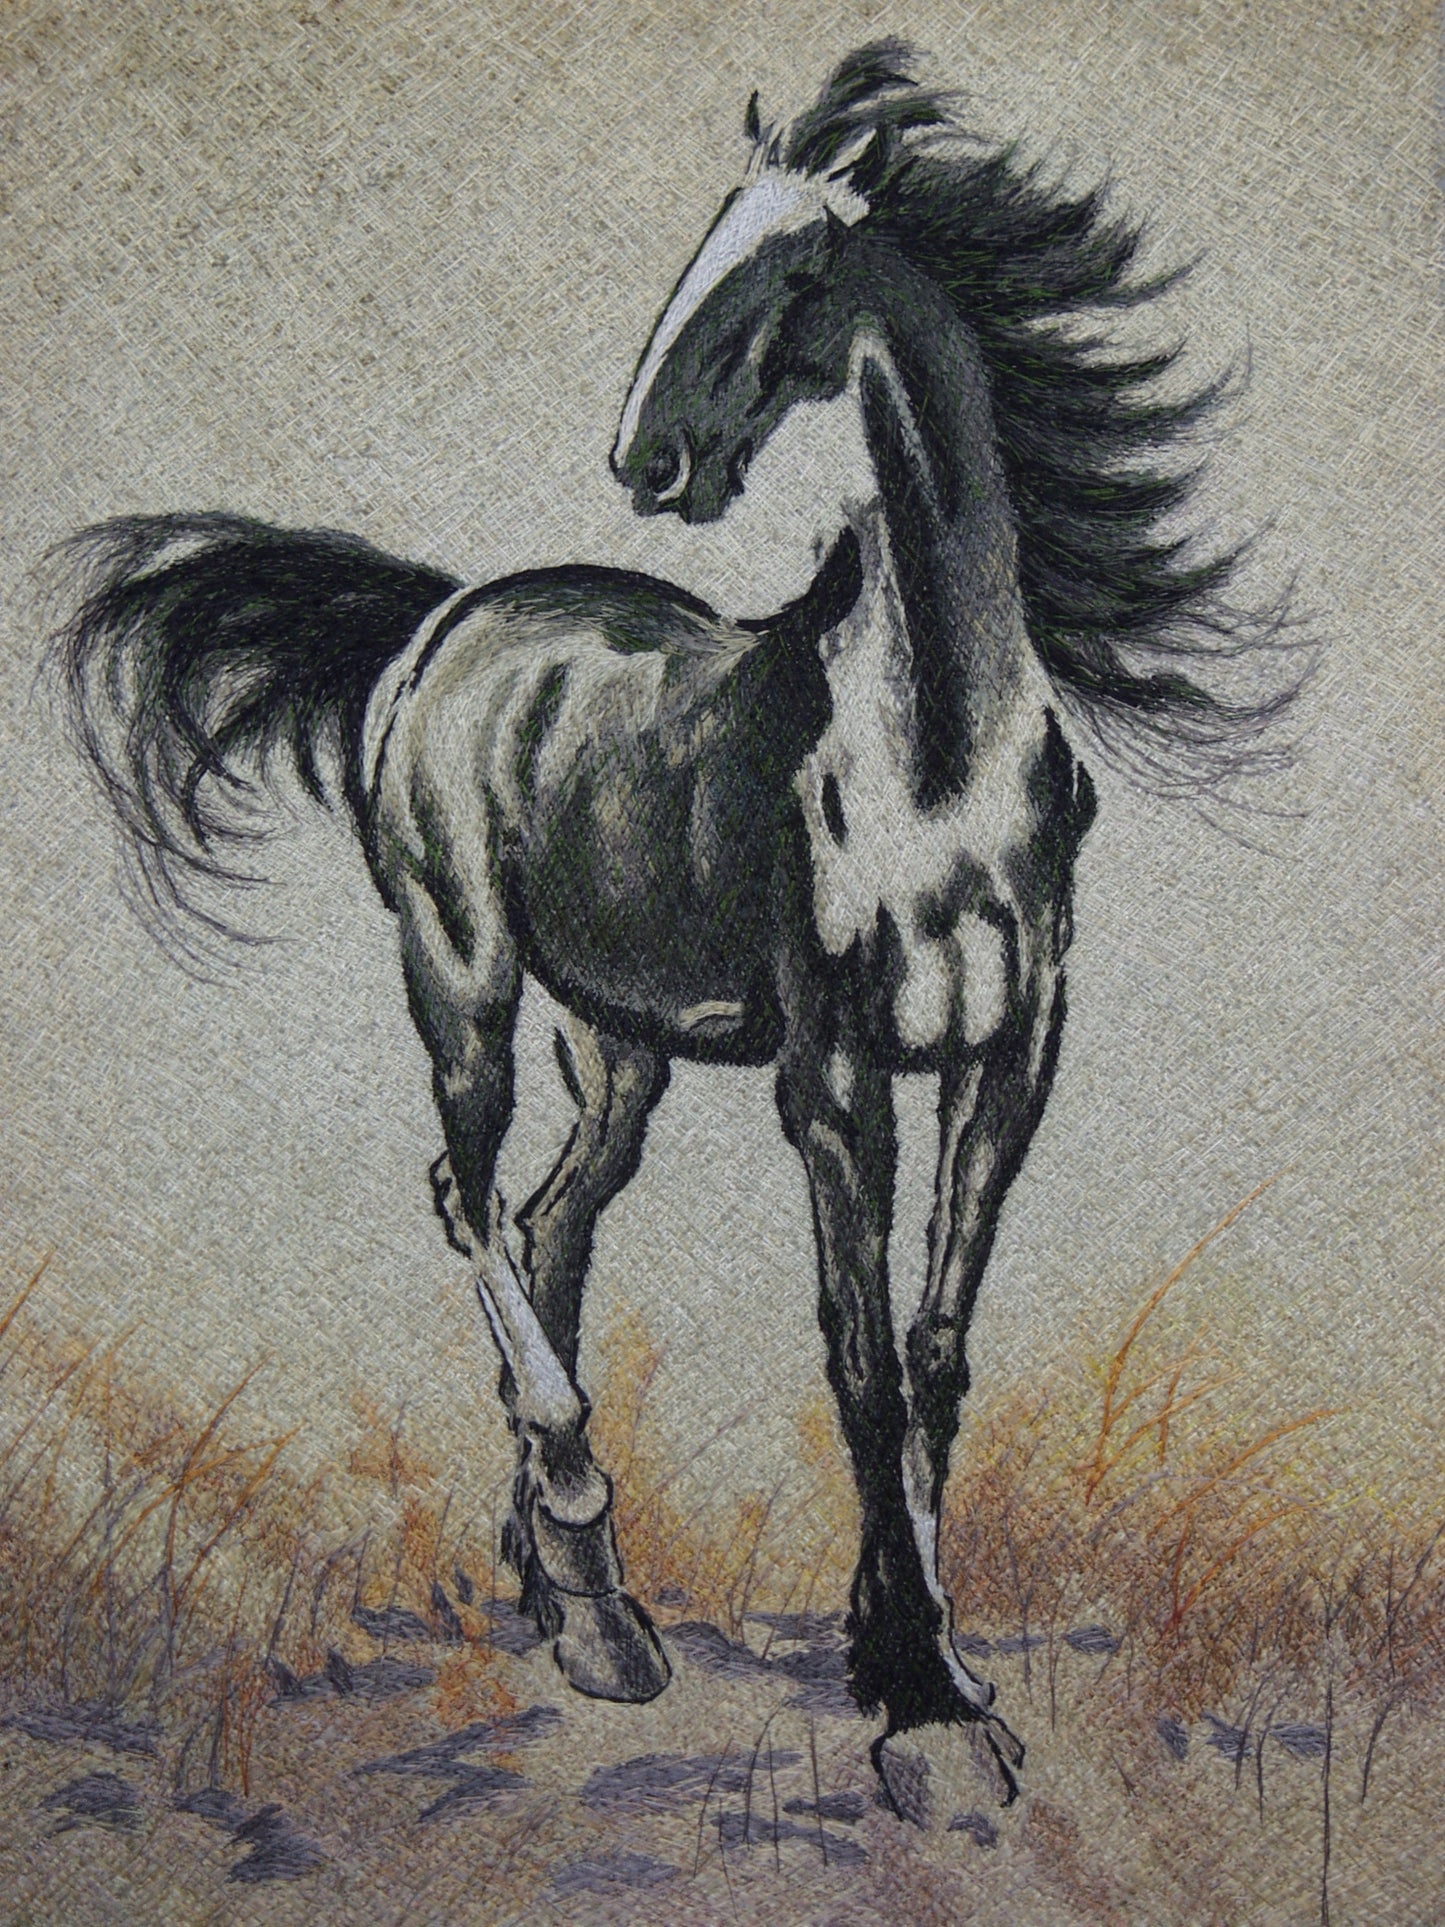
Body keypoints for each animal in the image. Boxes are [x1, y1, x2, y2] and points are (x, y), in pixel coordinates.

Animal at [51, 42, 1292, 1826]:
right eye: (705, 240)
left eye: (796, 268)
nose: (648, 458)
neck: (936, 757)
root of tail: (445, 621)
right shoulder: (832, 1073)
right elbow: (856, 1359)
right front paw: (919, 1708)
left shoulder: (1006, 1062)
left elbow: (933, 1354)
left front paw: (927, 1664)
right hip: (464, 979)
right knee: (468, 1197)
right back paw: (578, 1527)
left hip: (618, 1042)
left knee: (553, 1218)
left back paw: (579, 1603)